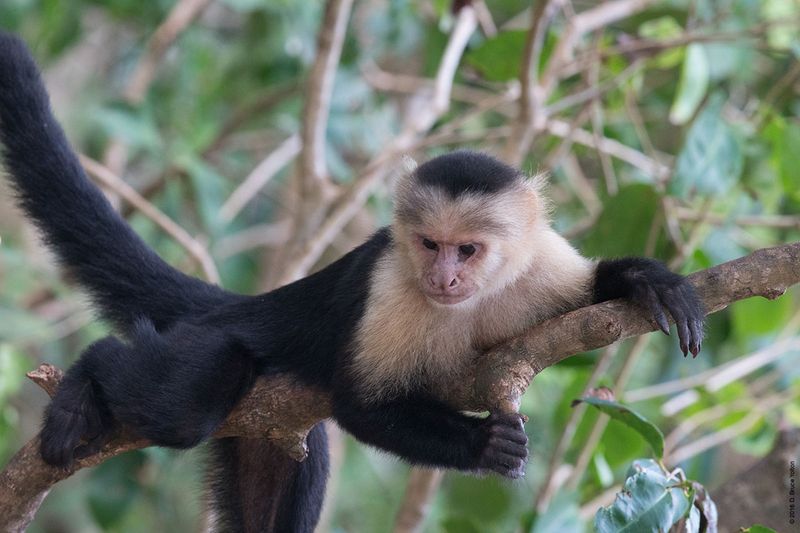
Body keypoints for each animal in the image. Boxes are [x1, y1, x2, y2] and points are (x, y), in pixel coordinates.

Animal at [0, 34, 704, 532]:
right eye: (430, 246)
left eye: (468, 249)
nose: (443, 275)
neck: (473, 296)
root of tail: (250, 305)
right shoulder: (390, 284)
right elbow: (359, 402)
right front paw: (484, 442)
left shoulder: (538, 262)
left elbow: (586, 295)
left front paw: (646, 281)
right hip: (211, 344)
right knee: (184, 406)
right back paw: (86, 380)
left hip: (266, 431)